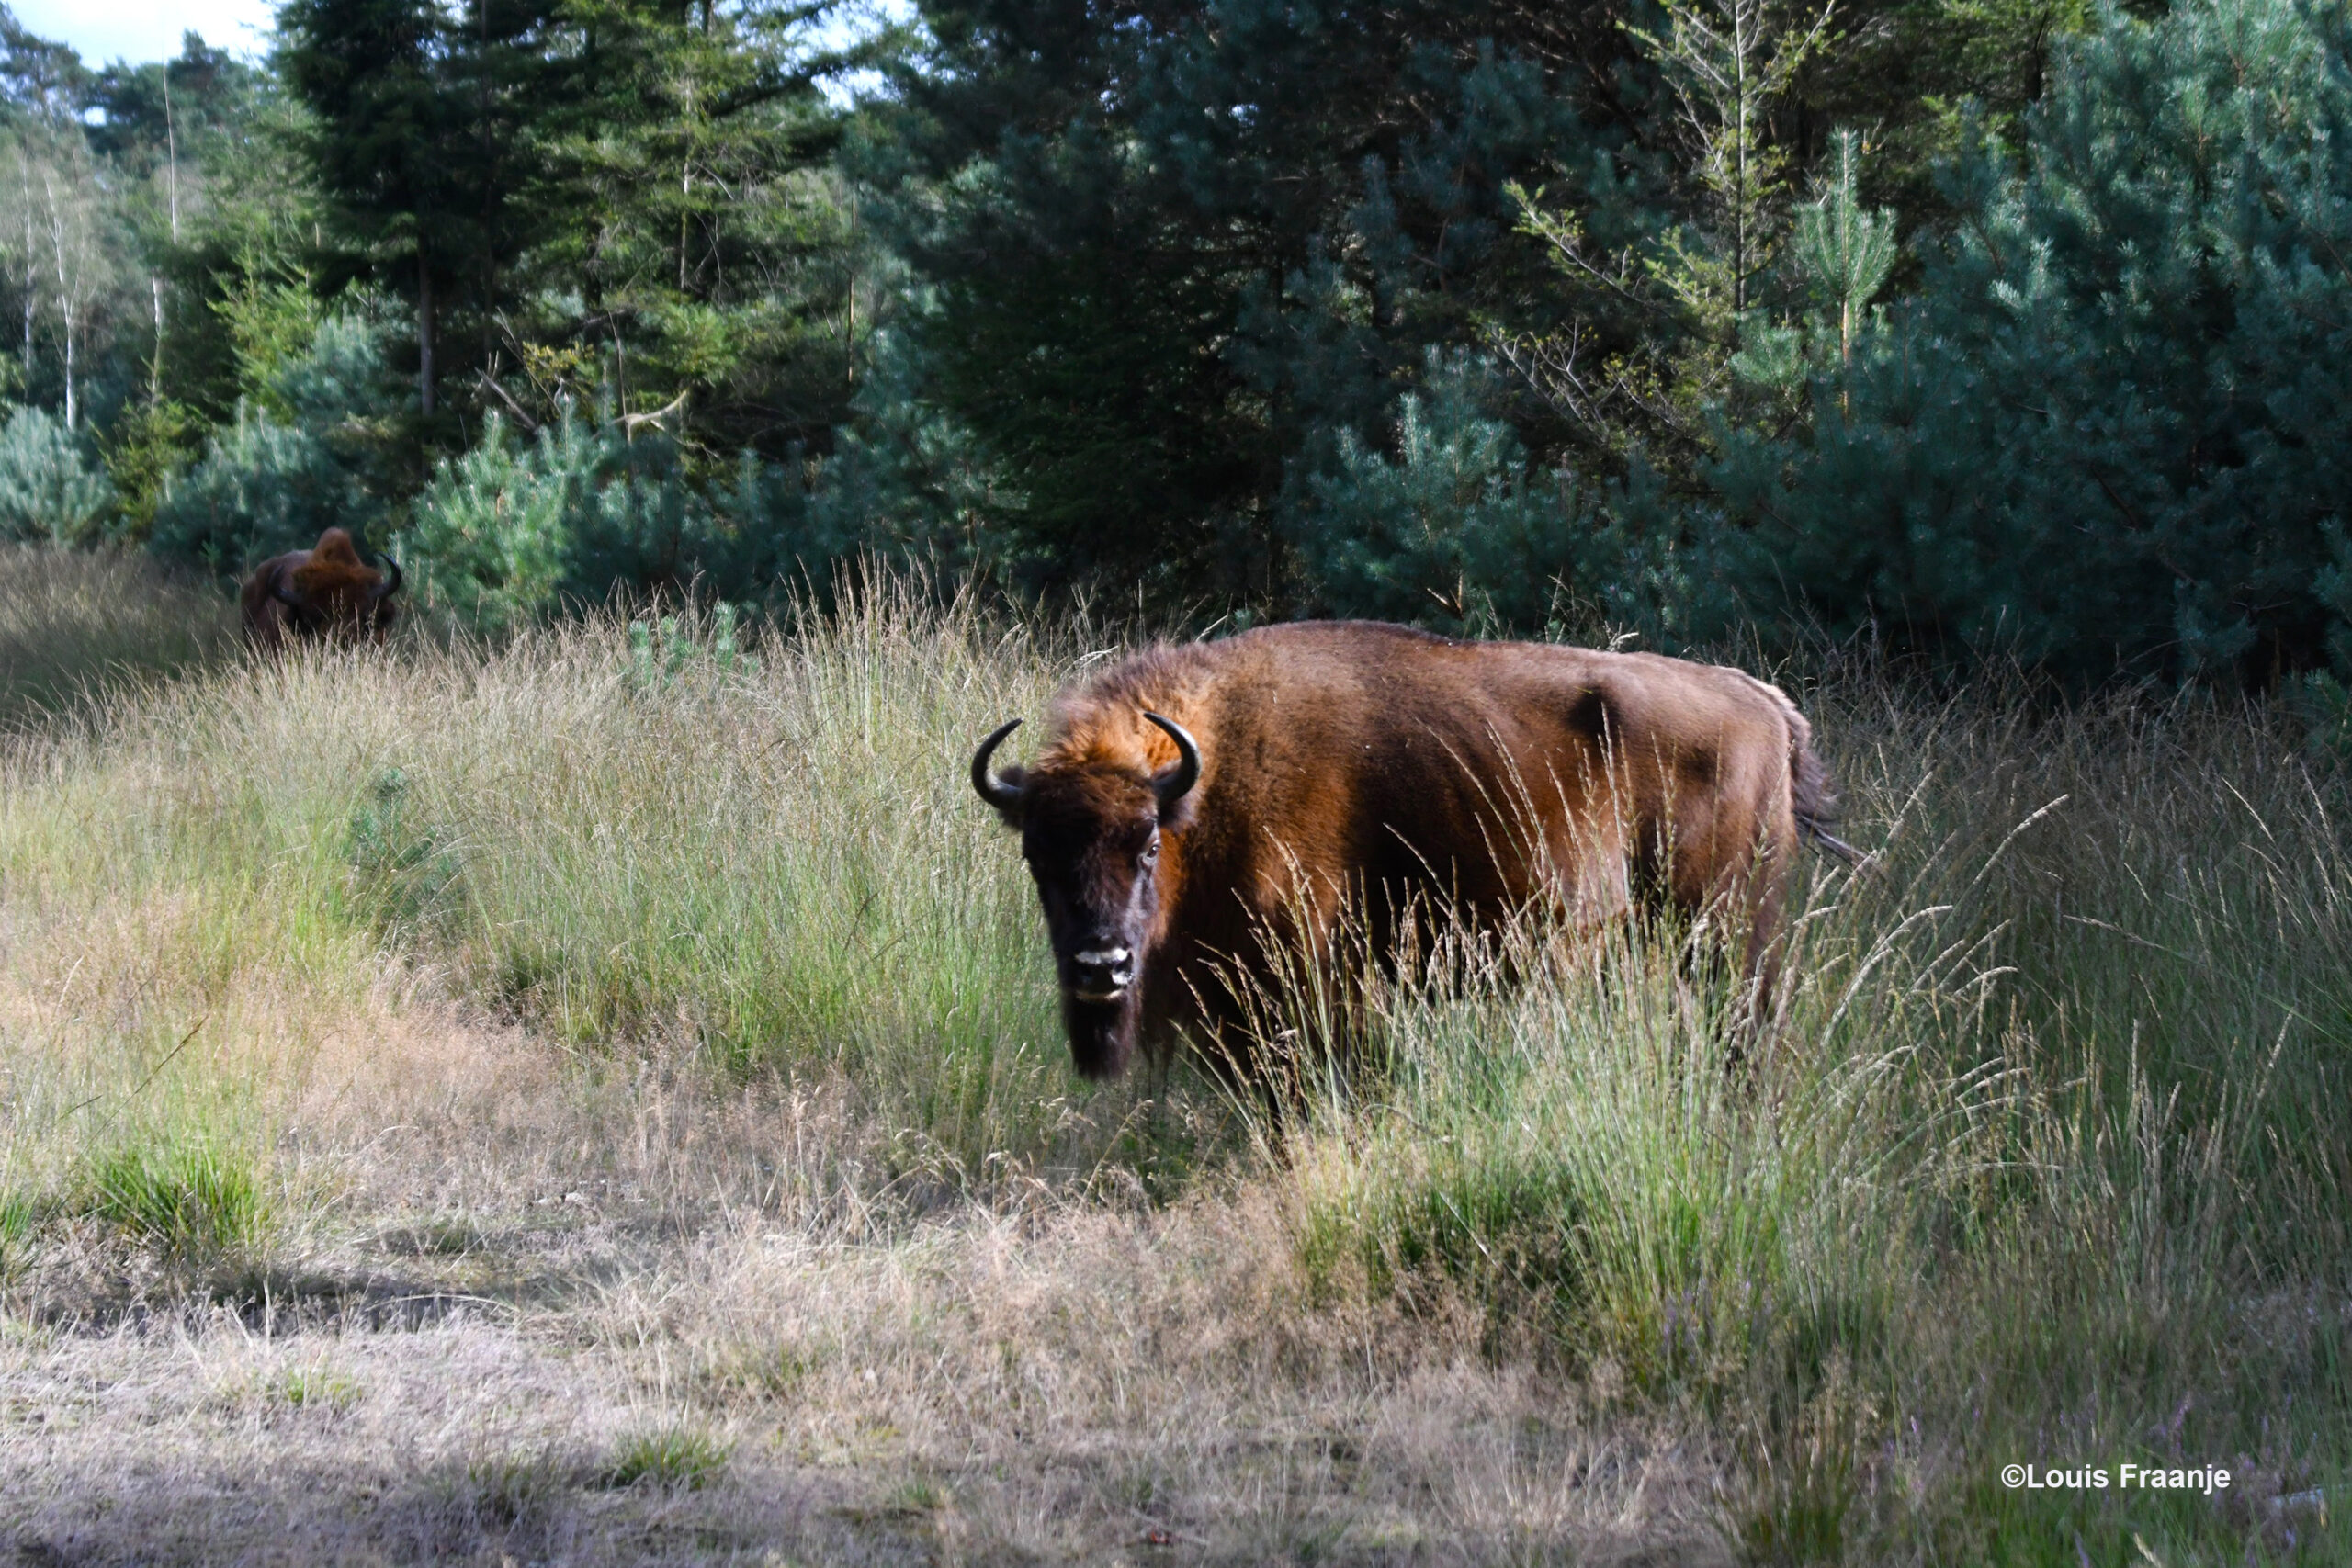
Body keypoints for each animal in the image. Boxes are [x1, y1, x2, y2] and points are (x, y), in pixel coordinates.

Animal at [968, 620, 1853, 1086]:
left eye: (1148, 841)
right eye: (1037, 854)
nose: (1101, 965)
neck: (1209, 775)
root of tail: (1763, 703)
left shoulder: (1310, 982)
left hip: (1727, 929)